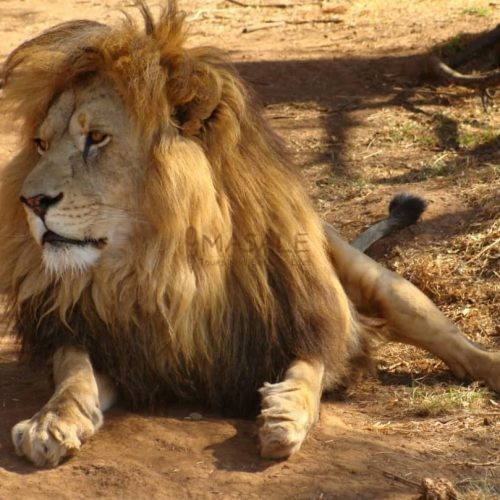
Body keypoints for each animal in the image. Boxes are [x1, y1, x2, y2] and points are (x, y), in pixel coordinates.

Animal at [0, 0, 498, 468]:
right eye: (41, 144)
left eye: (98, 138)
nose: (31, 202)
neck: (164, 264)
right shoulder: (111, 343)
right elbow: (74, 374)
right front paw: (52, 421)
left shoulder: (302, 316)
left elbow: (312, 367)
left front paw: (286, 414)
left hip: (381, 286)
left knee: (454, 341)